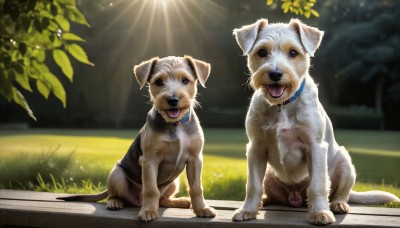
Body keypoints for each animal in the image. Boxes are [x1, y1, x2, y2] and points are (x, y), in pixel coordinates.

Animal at [57, 56, 216, 222]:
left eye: (185, 80)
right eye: (159, 81)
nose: (173, 100)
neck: (175, 124)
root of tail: (137, 201)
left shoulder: (195, 159)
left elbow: (196, 187)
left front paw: (202, 209)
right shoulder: (149, 160)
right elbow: (151, 189)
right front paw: (148, 211)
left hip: (174, 182)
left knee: (163, 199)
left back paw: (180, 201)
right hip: (117, 175)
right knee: (115, 194)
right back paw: (115, 202)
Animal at [231, 18, 400, 225]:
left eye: (293, 52)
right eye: (262, 52)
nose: (275, 74)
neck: (282, 106)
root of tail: (295, 196)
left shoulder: (315, 147)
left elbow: (318, 184)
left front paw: (320, 213)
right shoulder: (256, 148)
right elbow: (253, 184)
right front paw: (247, 210)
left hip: (345, 163)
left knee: (340, 192)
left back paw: (337, 204)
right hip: (270, 173)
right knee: (268, 192)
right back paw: (263, 201)